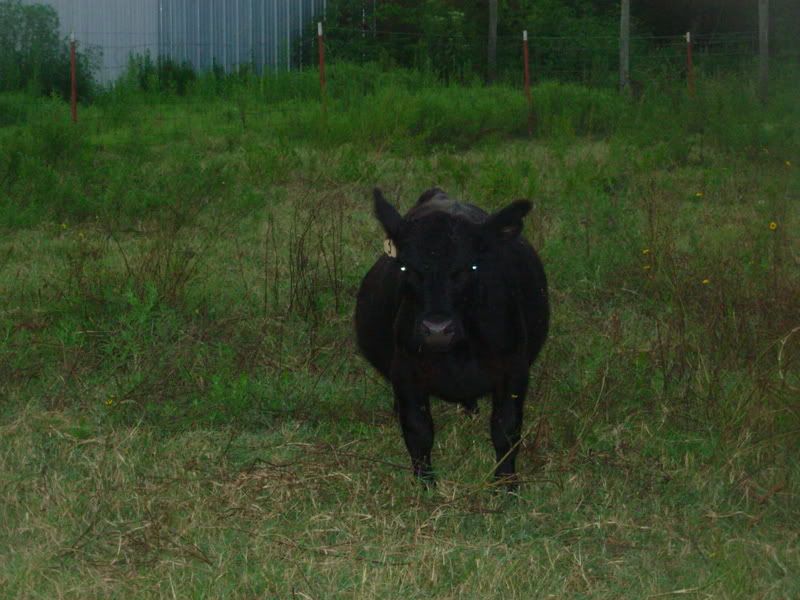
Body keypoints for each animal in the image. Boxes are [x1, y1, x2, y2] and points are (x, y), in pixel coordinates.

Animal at [355, 187, 549, 487]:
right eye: (405, 267)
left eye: (470, 267)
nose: (437, 328)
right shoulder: (405, 370)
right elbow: (418, 429)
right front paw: (425, 484)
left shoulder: (514, 369)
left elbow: (506, 429)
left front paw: (505, 484)